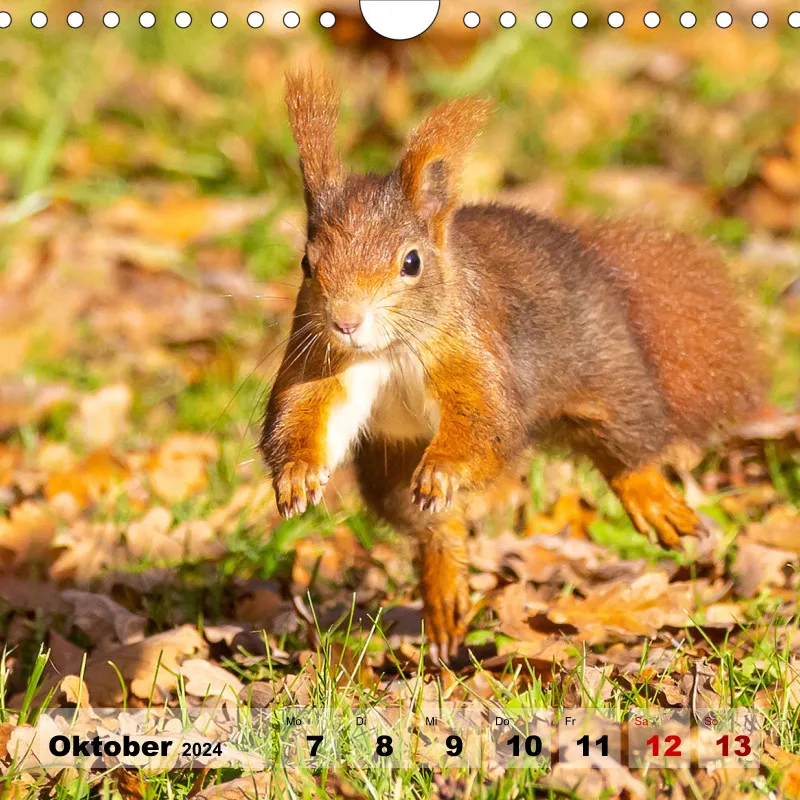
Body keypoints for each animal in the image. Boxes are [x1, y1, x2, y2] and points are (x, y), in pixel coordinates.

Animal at [260, 69, 765, 660]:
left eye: (411, 262)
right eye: (306, 263)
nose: (345, 321)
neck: (387, 352)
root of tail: (600, 267)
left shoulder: (474, 353)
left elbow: (487, 422)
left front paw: (444, 469)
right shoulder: (318, 358)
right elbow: (302, 412)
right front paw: (297, 475)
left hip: (610, 375)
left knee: (628, 447)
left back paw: (653, 500)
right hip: (390, 463)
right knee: (432, 524)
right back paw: (445, 584)